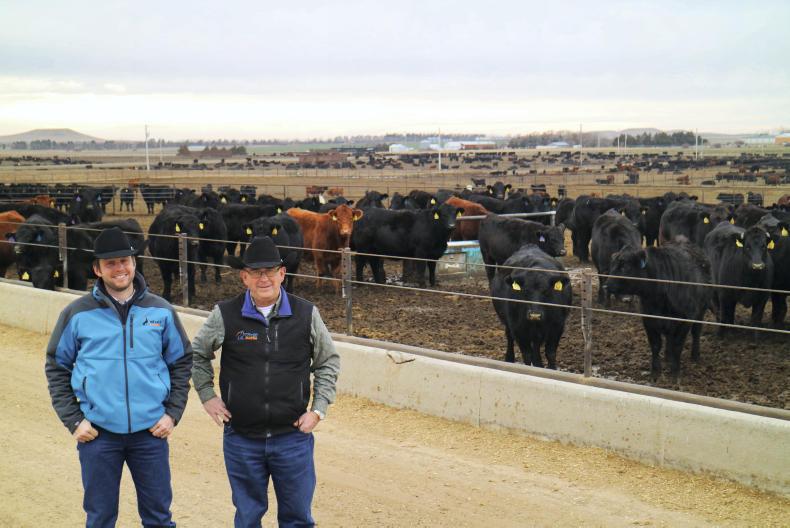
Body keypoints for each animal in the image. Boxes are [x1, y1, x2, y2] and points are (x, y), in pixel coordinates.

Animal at [606, 243, 712, 382]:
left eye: (625, 266)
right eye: (613, 265)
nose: (606, 285)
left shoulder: (684, 321)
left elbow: (678, 345)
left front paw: (675, 372)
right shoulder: (648, 320)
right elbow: (656, 345)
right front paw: (655, 371)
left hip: (701, 311)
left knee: (696, 333)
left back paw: (695, 356)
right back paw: (668, 357)